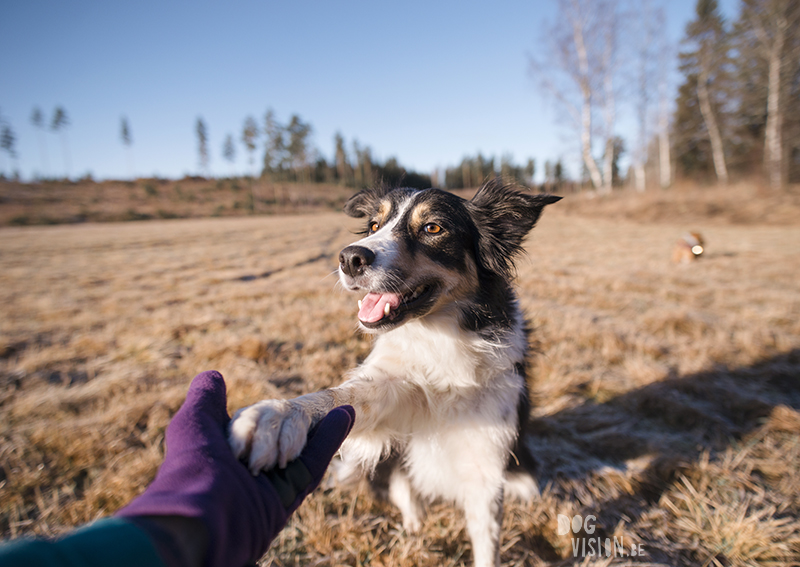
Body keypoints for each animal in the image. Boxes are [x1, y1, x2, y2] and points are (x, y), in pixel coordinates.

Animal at [228, 179, 560, 567]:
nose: (349, 259)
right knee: (405, 491)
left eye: (433, 228)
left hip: (523, 479)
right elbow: (340, 399)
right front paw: (279, 417)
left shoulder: (486, 458)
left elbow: (486, 539)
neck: (441, 338)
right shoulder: (392, 389)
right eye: (374, 225)